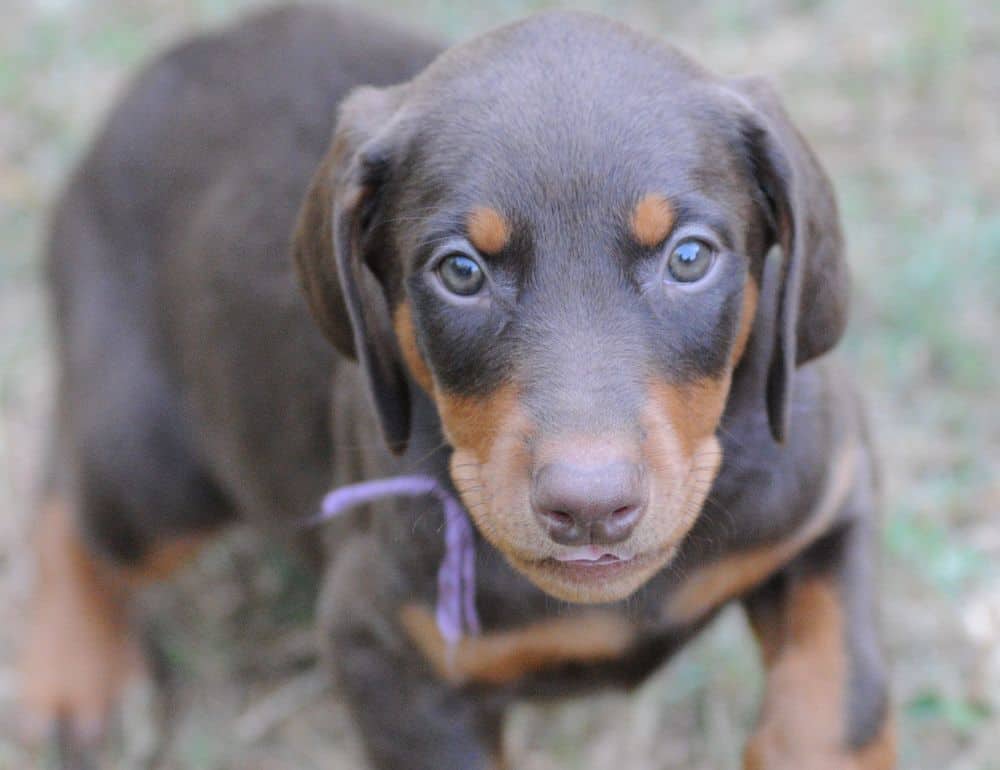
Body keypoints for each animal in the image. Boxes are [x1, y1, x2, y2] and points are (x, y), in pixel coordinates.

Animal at [19, 6, 896, 768]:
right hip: (157, 469)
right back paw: (73, 677)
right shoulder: (385, 650)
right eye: (461, 272)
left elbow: (841, 694)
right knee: (70, 497)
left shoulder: (827, 496)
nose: (589, 509)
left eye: (689, 258)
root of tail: (186, 56)